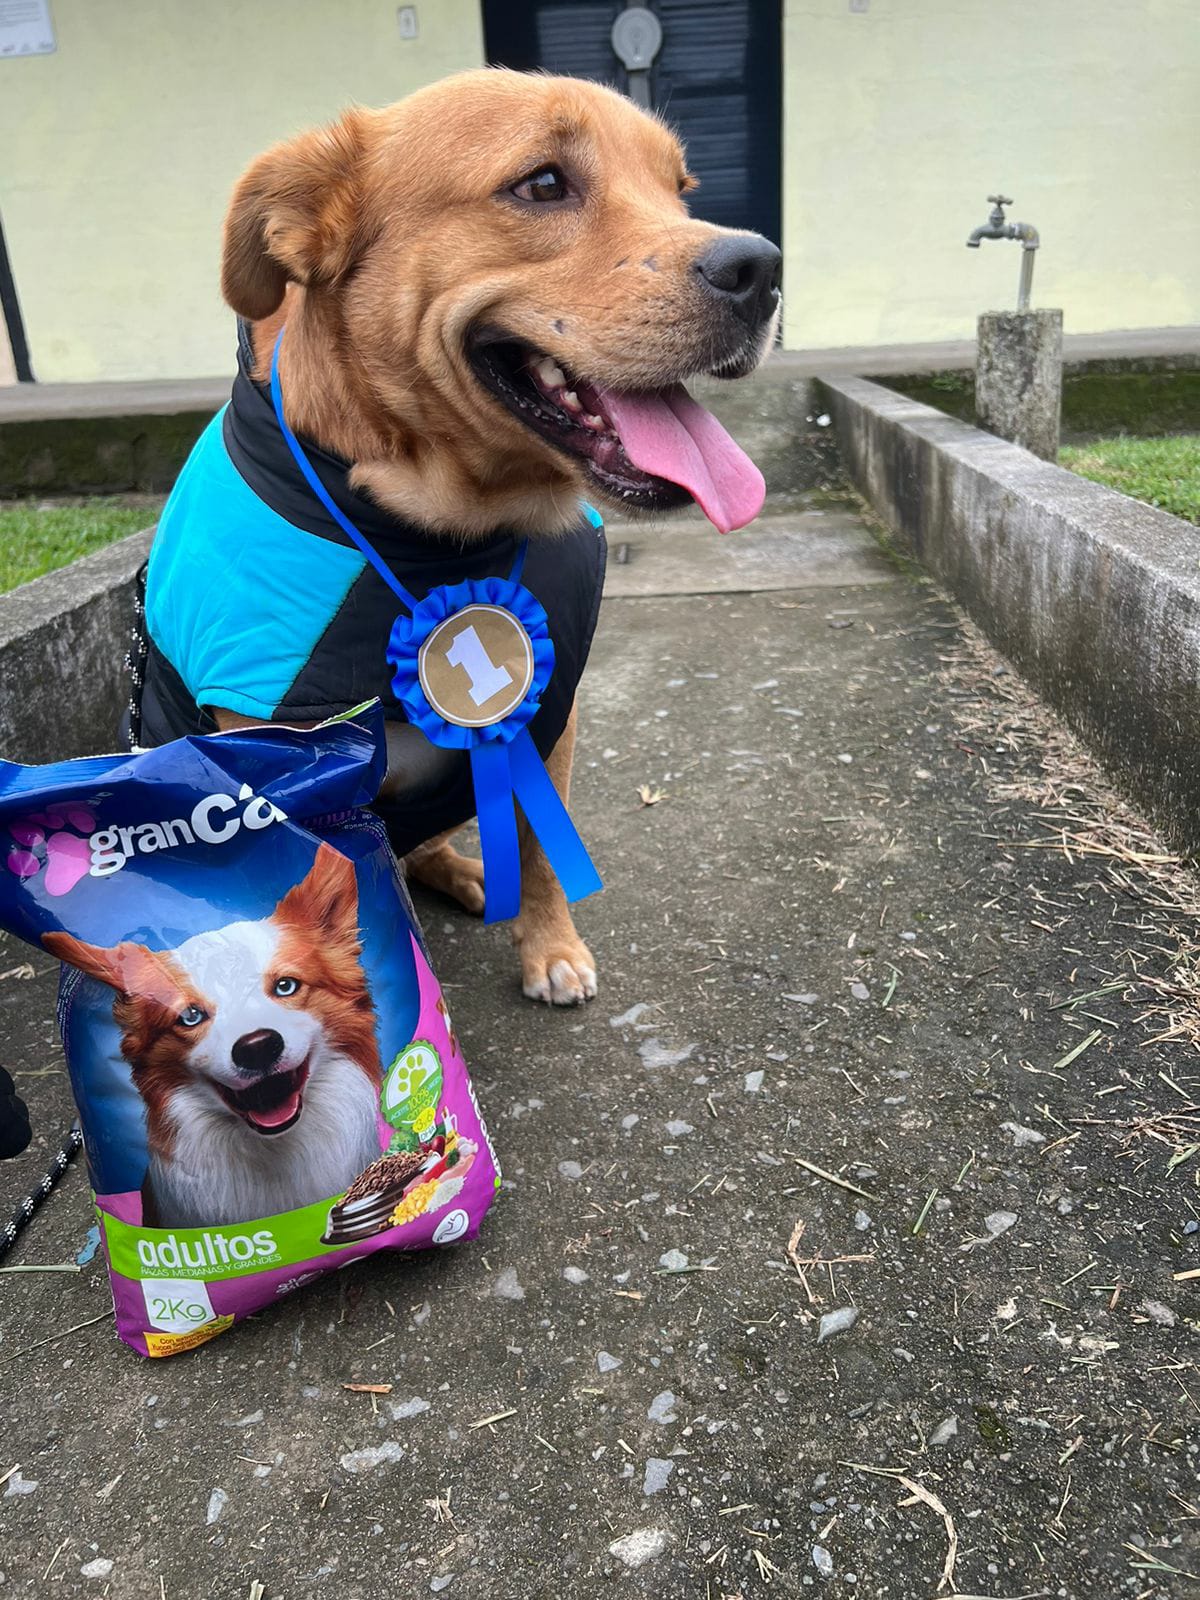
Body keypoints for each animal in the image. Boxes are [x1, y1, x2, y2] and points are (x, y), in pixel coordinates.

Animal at [134, 69, 781, 1007]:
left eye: (679, 189)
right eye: (542, 184)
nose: (762, 268)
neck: (443, 539)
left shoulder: (548, 715)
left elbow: (543, 850)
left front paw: (549, 948)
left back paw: (473, 876)